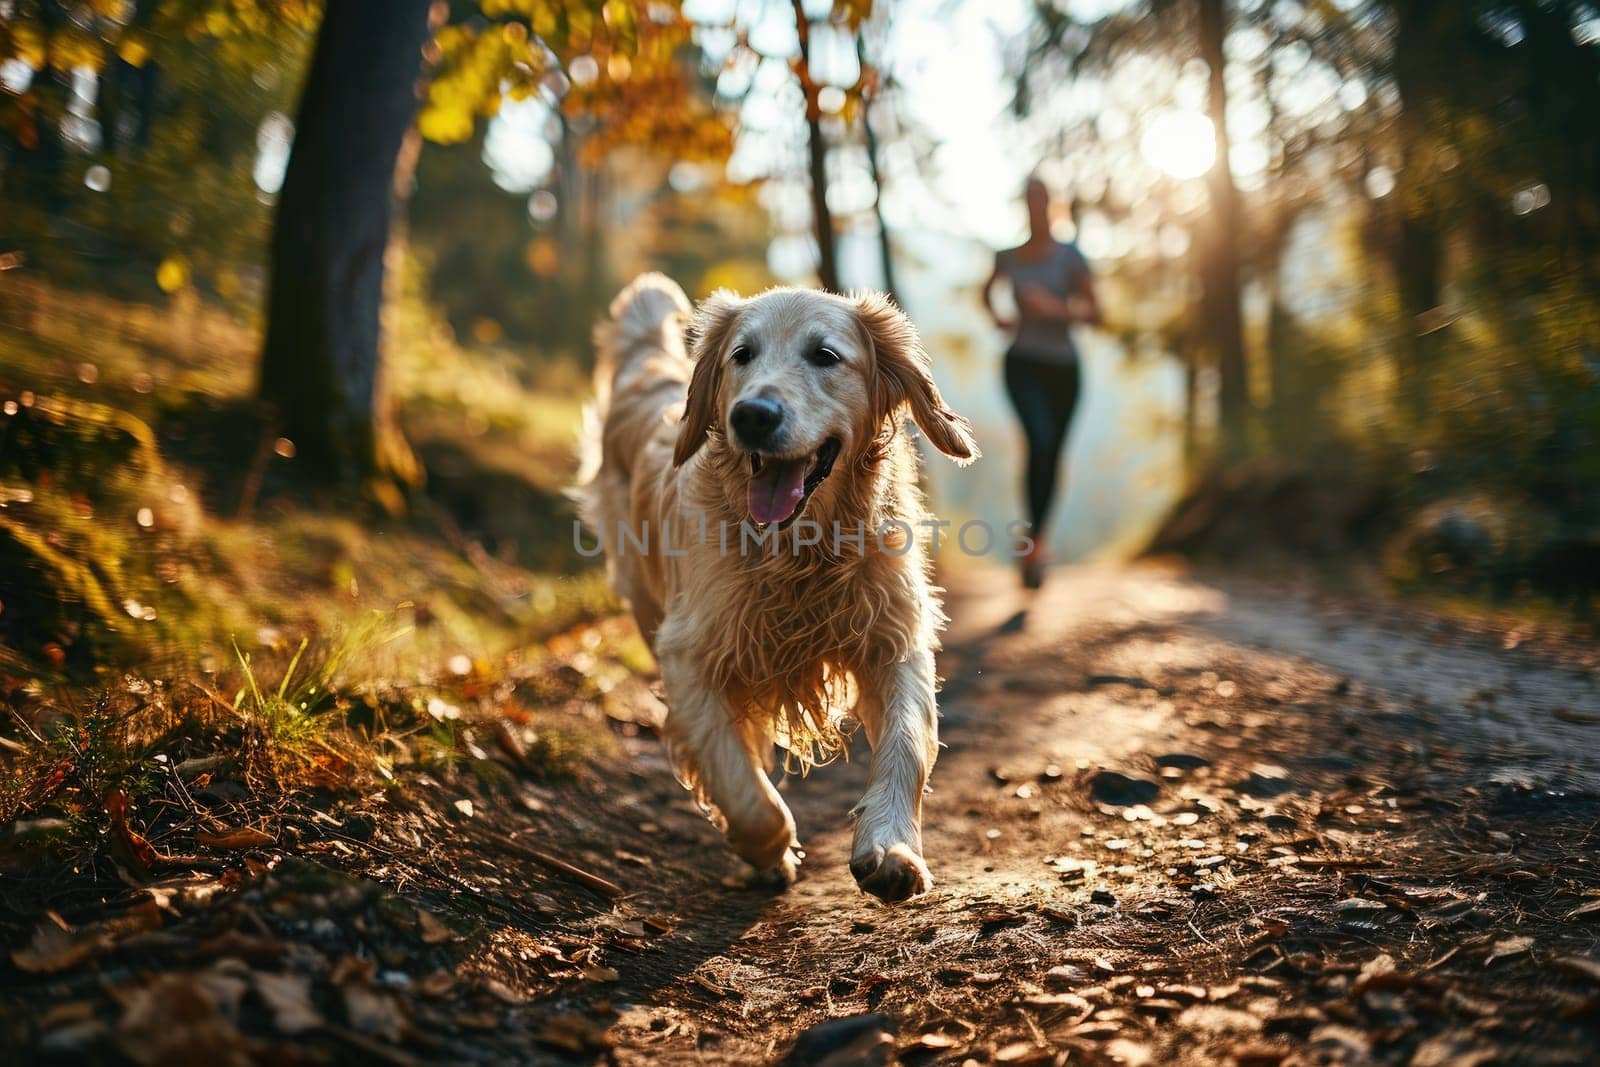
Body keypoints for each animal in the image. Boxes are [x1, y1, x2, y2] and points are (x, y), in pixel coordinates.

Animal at [576, 275, 972, 902]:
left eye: (825, 355)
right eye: (742, 354)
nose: (753, 416)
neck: (797, 552)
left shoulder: (893, 638)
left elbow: (909, 743)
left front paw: (891, 848)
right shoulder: (688, 654)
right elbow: (739, 780)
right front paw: (767, 849)